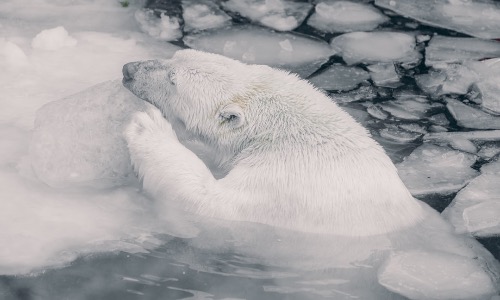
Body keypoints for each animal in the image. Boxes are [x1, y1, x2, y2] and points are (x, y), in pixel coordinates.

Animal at [122, 50, 500, 298]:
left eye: (173, 80)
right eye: (174, 55)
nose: (128, 68)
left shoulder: (285, 183)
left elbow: (210, 204)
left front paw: (148, 126)